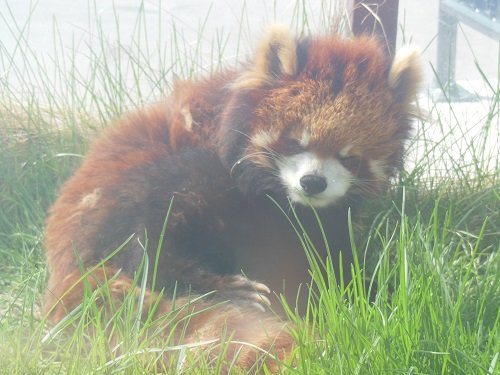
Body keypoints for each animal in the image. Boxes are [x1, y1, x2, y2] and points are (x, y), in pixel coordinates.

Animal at [43, 25, 422, 372]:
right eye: (294, 142)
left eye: (350, 158)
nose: (313, 182)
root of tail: (67, 266)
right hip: (149, 189)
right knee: (147, 244)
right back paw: (216, 288)